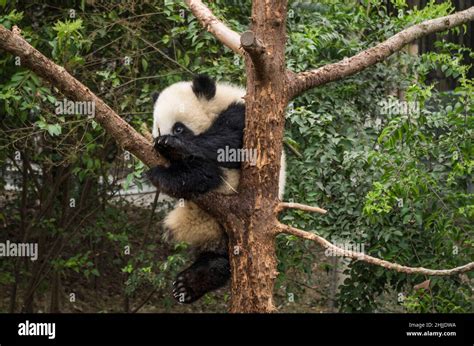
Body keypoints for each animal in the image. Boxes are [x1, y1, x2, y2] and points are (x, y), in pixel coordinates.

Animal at [147, 75, 286, 302]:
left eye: (178, 128)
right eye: (158, 129)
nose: (161, 138)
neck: (217, 104)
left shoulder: (243, 113)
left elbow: (229, 141)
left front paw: (172, 145)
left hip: (229, 182)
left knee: (208, 173)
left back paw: (168, 176)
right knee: (219, 259)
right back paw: (188, 285)